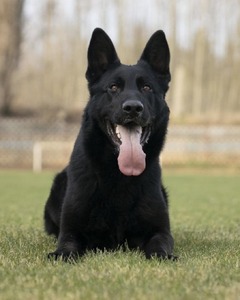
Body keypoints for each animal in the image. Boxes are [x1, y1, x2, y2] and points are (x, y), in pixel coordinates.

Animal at [44, 28, 174, 260]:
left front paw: (163, 256)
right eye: (113, 87)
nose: (133, 108)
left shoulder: (161, 232)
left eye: (147, 88)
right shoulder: (71, 232)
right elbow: (67, 247)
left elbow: (159, 246)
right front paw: (61, 255)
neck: (119, 174)